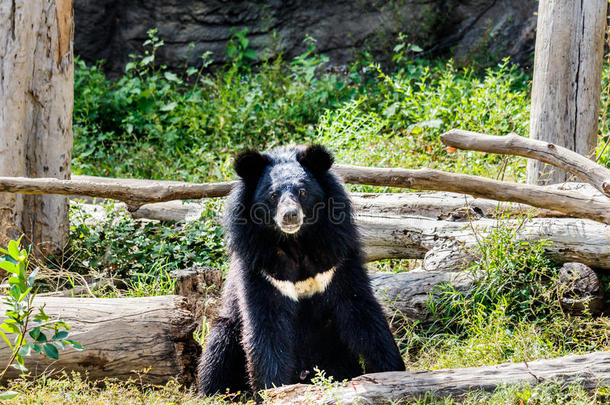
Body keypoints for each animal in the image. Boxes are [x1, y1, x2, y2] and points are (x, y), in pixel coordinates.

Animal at [197, 144, 402, 392]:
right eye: (273, 195)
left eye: (302, 192)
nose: (290, 215)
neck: (296, 243)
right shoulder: (262, 268)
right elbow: (267, 326)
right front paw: (271, 388)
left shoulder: (337, 257)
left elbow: (360, 310)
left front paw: (392, 371)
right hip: (226, 328)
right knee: (218, 349)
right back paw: (214, 392)